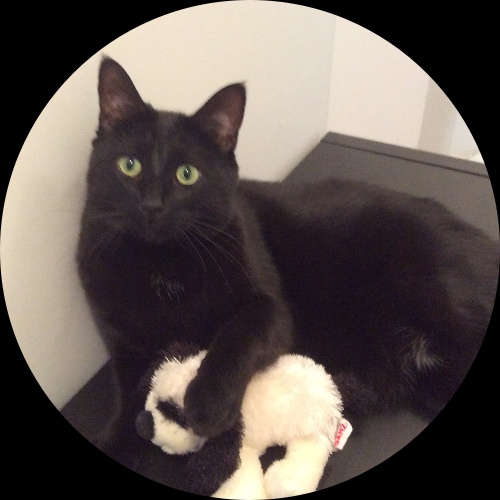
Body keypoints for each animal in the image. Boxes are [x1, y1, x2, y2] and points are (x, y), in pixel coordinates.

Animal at [77, 57, 499, 468]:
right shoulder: (125, 346)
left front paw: (208, 402)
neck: (161, 264)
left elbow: (236, 334)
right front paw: (116, 439)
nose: (152, 205)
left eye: (187, 175)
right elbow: (128, 399)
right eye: (129, 165)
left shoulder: (273, 309)